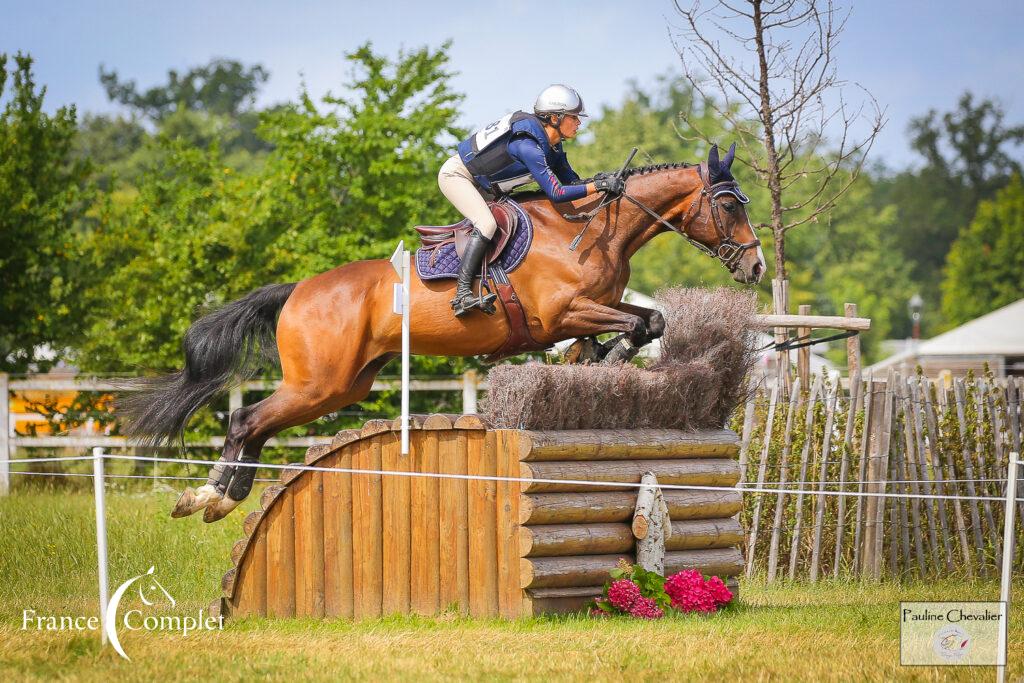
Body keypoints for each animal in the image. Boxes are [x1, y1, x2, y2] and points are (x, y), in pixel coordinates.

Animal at [128, 141, 765, 520]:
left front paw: (597, 366)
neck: (590, 231)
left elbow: (640, 325)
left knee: (258, 424)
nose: (757, 268)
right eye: (731, 205)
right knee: (246, 419)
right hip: (319, 381)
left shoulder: (584, 317)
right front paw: (609, 358)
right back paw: (209, 497)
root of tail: (299, 290)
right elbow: (643, 321)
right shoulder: (564, 315)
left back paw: (223, 497)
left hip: (343, 385)